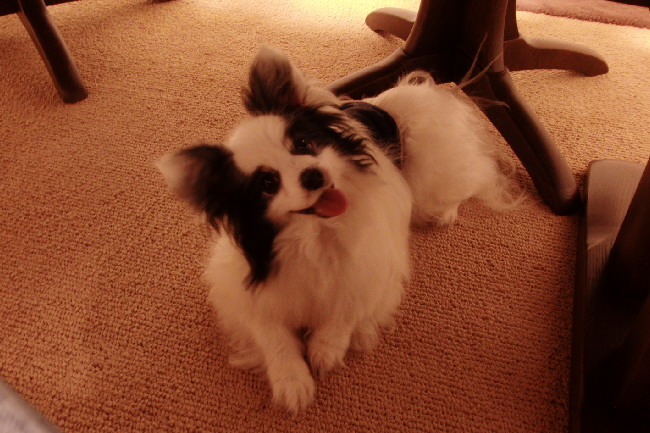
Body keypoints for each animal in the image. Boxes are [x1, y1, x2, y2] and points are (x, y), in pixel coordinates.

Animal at [156, 47, 521, 412]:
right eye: (268, 183)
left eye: (304, 144)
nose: (313, 175)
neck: (314, 233)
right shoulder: (244, 296)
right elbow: (273, 336)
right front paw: (293, 382)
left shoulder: (371, 271)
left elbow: (346, 308)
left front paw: (325, 351)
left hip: (431, 172)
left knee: (470, 179)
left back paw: (445, 213)